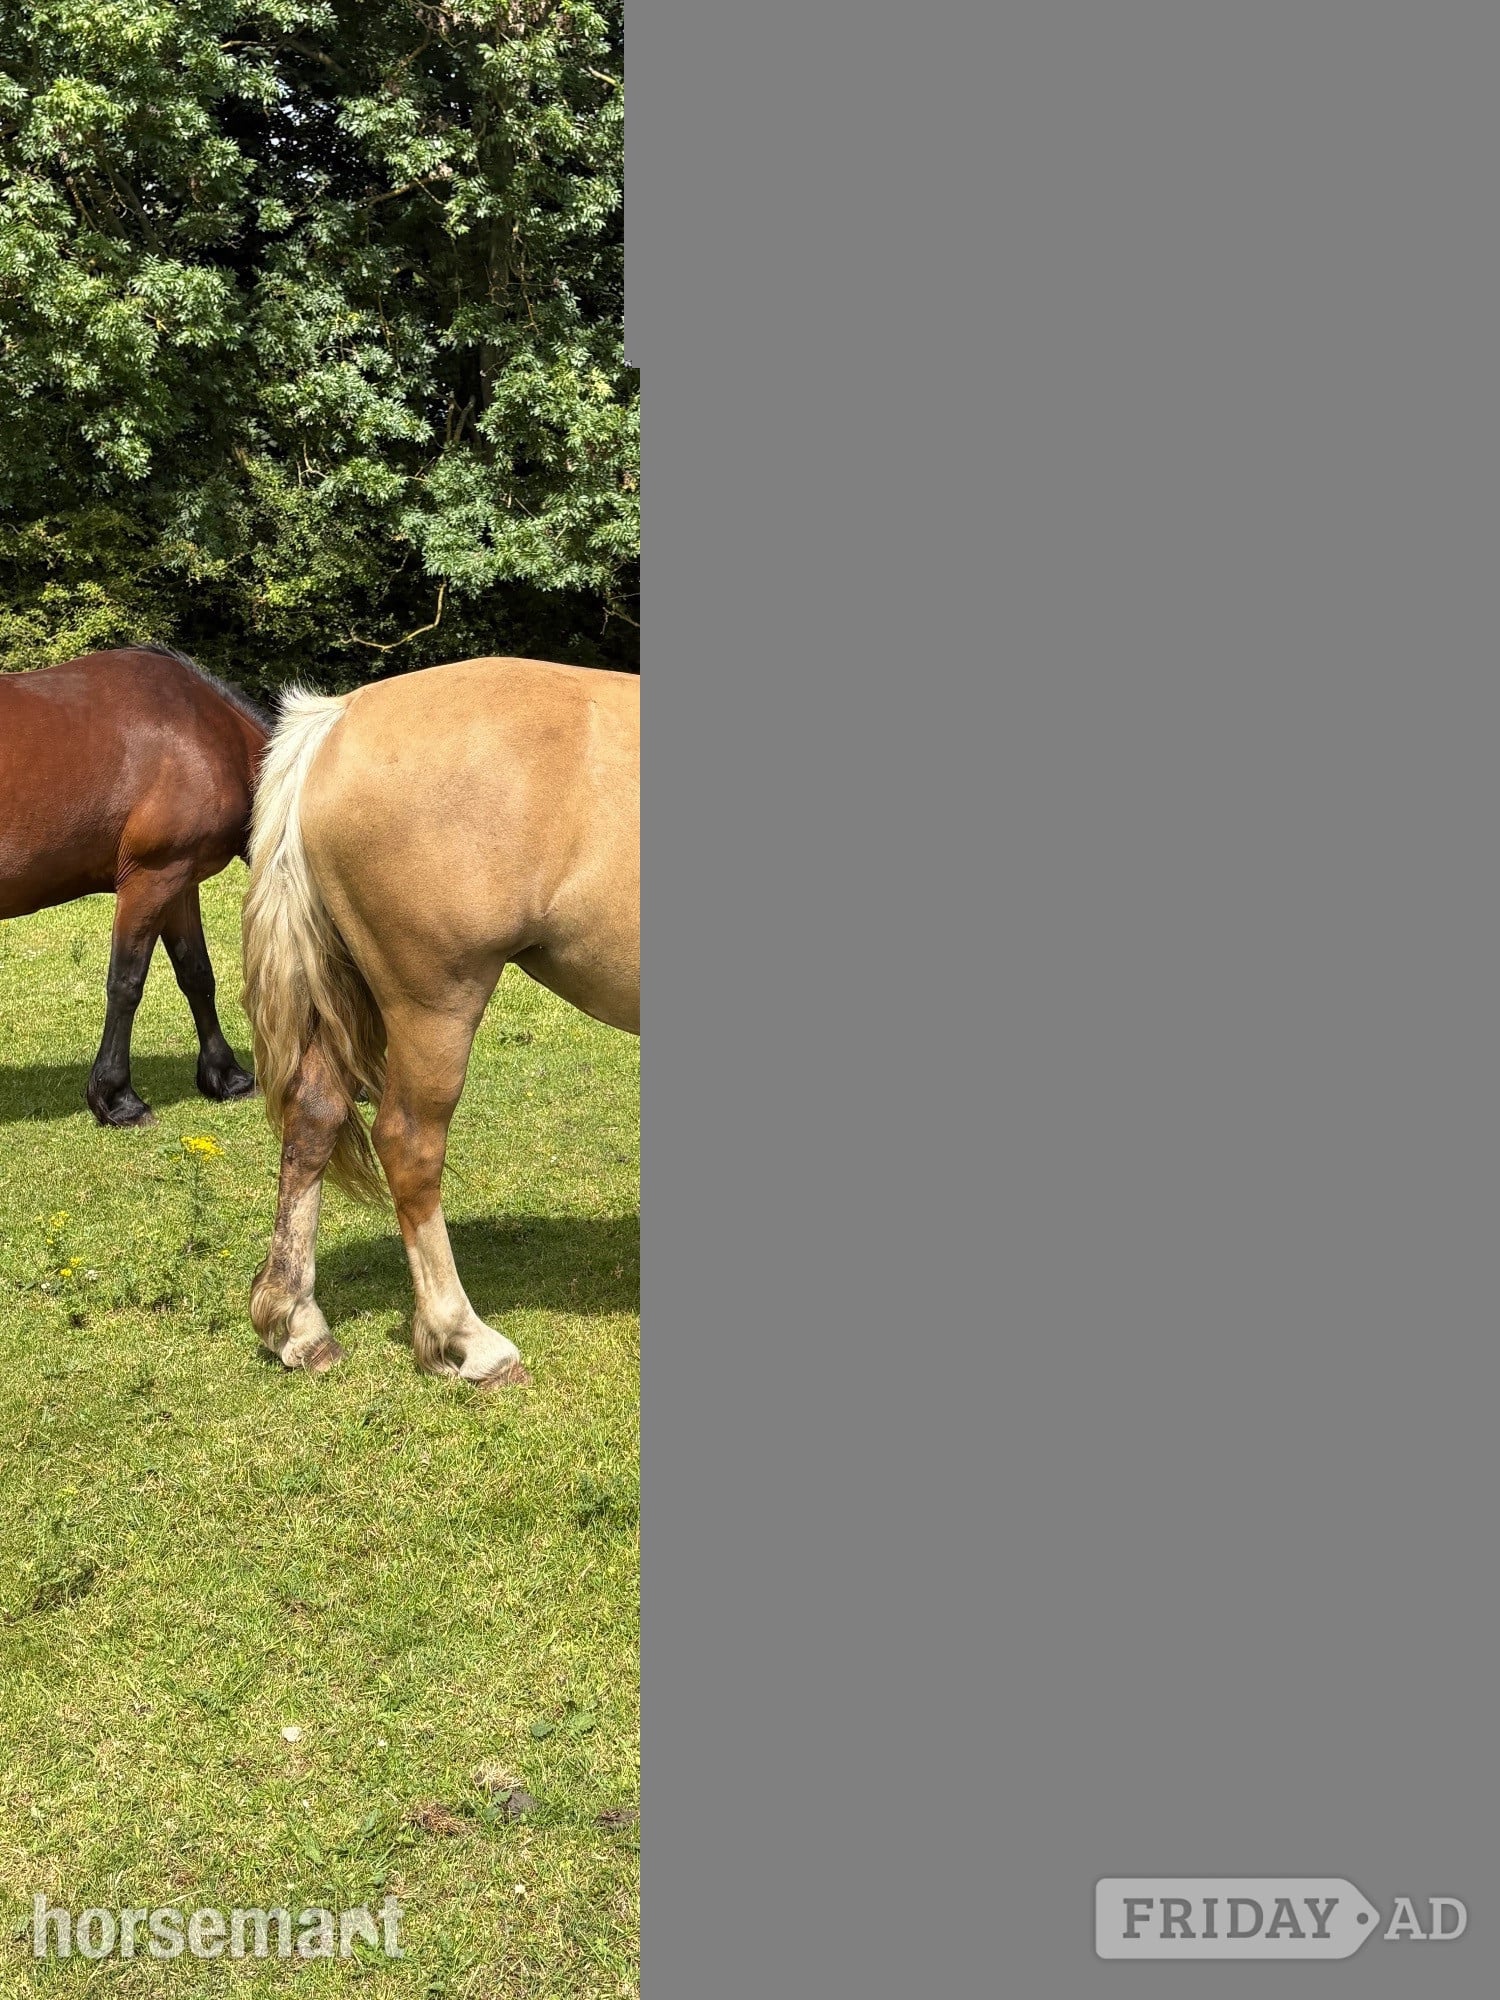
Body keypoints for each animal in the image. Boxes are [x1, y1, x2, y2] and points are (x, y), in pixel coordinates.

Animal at [0, 646, 264, 1126]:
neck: (208, 733)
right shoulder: (151, 879)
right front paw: (117, 1097)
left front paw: (227, 1077)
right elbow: (125, 983)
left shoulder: (179, 883)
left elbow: (197, 974)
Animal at [240, 655, 639, 1386]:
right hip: (435, 1004)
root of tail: (341, 716)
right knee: (408, 1145)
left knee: (312, 1119)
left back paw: (299, 1326)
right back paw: (467, 1338)